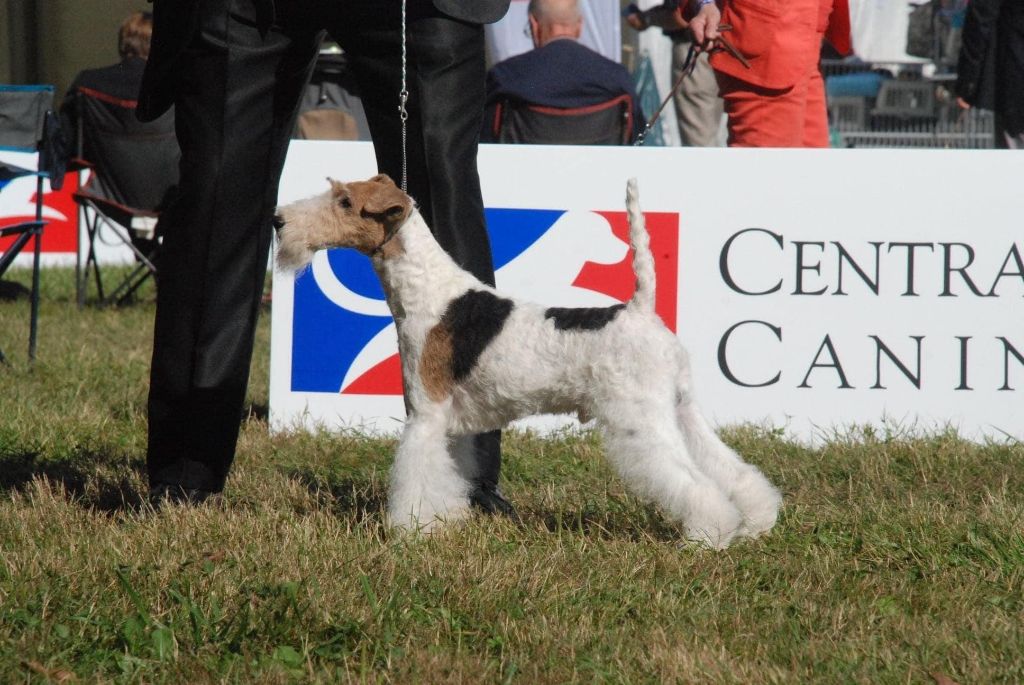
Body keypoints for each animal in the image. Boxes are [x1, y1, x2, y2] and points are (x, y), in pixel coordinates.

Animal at [276, 174, 778, 548]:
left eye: (344, 201)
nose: (279, 220)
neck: (429, 294)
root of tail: (641, 309)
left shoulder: (425, 413)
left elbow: (415, 477)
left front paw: (410, 532)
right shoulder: (451, 424)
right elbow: (449, 473)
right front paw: (447, 520)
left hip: (642, 419)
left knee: (695, 482)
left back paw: (707, 535)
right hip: (680, 408)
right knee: (733, 470)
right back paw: (756, 521)